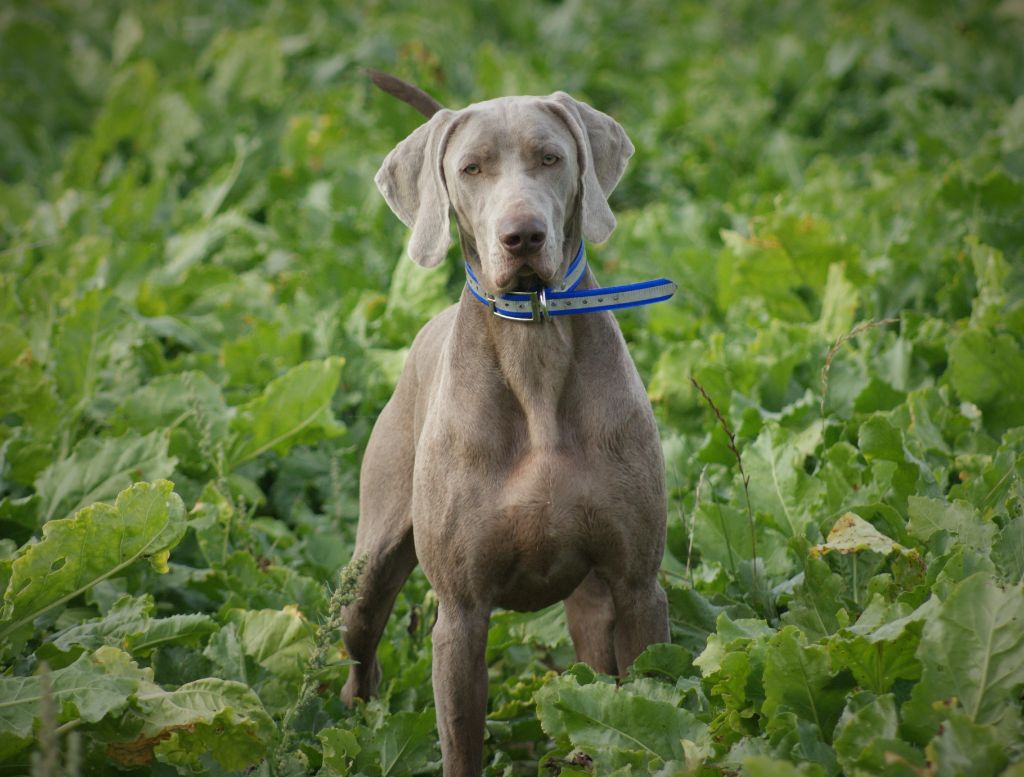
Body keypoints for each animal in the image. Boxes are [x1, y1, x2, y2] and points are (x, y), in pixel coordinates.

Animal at [344, 74, 671, 777]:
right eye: (471, 169)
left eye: (551, 157)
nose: (522, 236)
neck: (534, 341)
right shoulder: (461, 615)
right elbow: (460, 743)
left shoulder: (637, 586)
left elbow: (657, 695)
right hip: (369, 569)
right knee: (360, 655)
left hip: (591, 604)